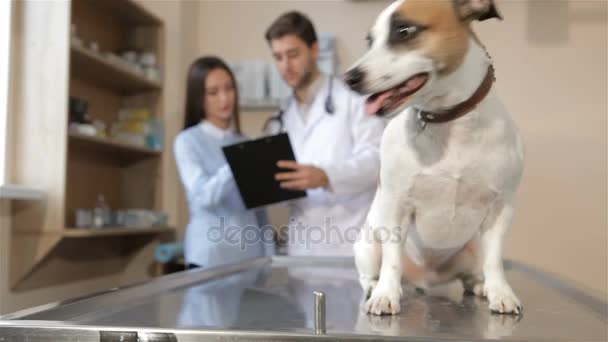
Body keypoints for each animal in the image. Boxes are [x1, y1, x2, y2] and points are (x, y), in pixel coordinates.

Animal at [344, 0, 524, 316]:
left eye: (404, 31)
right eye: (370, 41)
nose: (349, 78)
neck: (449, 122)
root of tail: (424, 279)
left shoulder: (501, 208)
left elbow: (495, 261)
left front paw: (500, 291)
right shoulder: (397, 206)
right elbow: (392, 260)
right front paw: (385, 294)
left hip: (473, 248)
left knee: (472, 273)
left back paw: (481, 285)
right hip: (368, 245)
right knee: (371, 270)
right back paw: (374, 287)